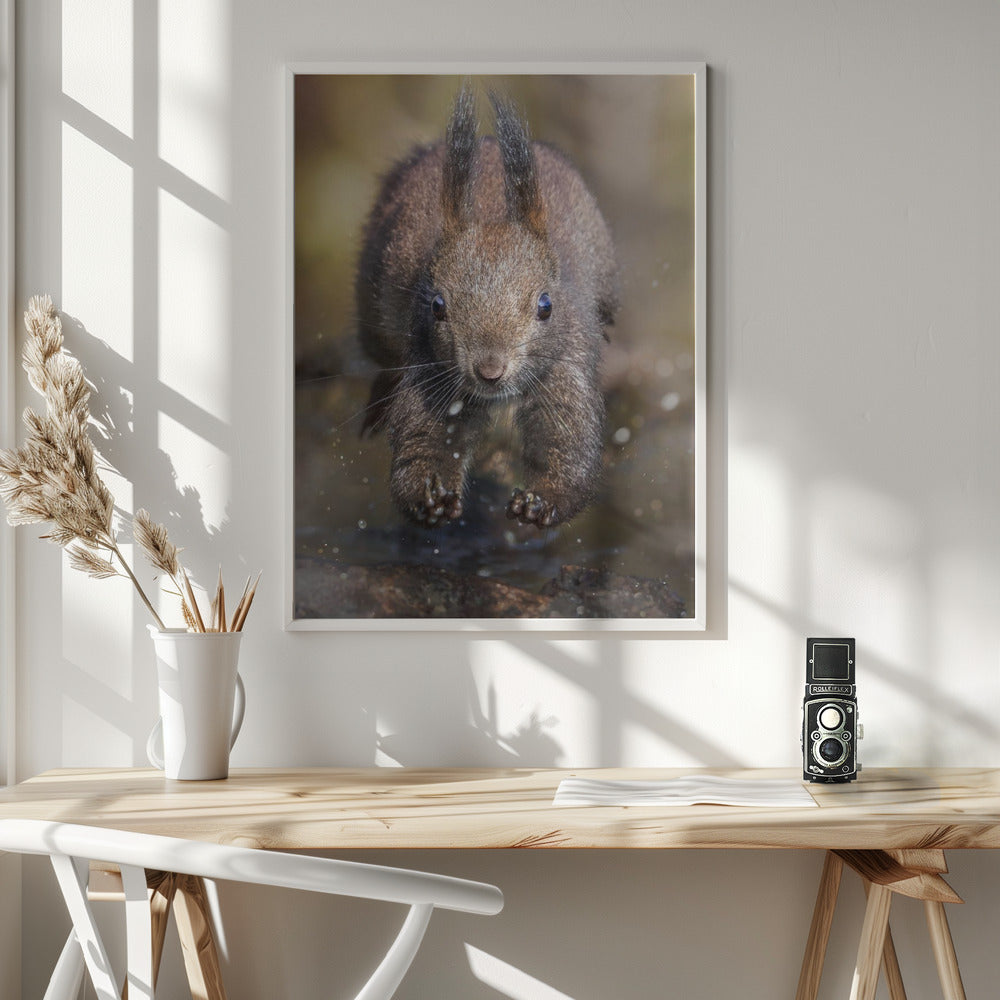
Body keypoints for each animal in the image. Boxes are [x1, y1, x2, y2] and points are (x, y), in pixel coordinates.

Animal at [355, 85, 619, 529]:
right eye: (437, 306)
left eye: (545, 306)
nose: (490, 371)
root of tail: (491, 143)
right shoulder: (431, 371)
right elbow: (423, 439)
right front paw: (430, 498)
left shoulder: (565, 365)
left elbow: (569, 444)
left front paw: (540, 501)